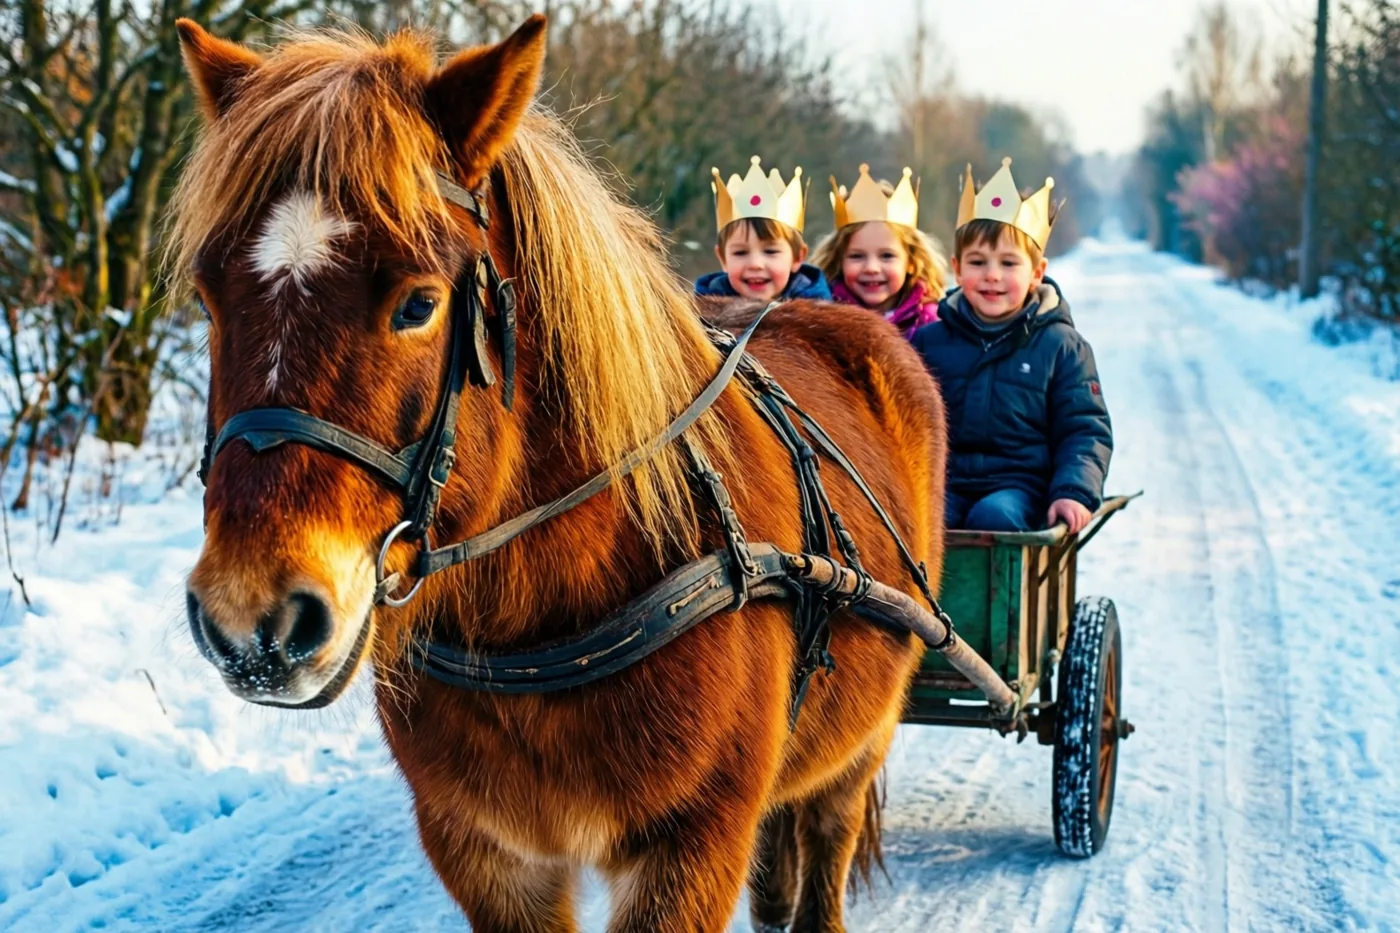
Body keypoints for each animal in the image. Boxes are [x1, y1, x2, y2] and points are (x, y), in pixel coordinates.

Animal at [171, 15, 947, 932]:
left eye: (418, 302)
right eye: (208, 297)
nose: (250, 617)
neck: (545, 609)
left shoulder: (692, 848)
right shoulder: (488, 852)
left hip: (862, 742)